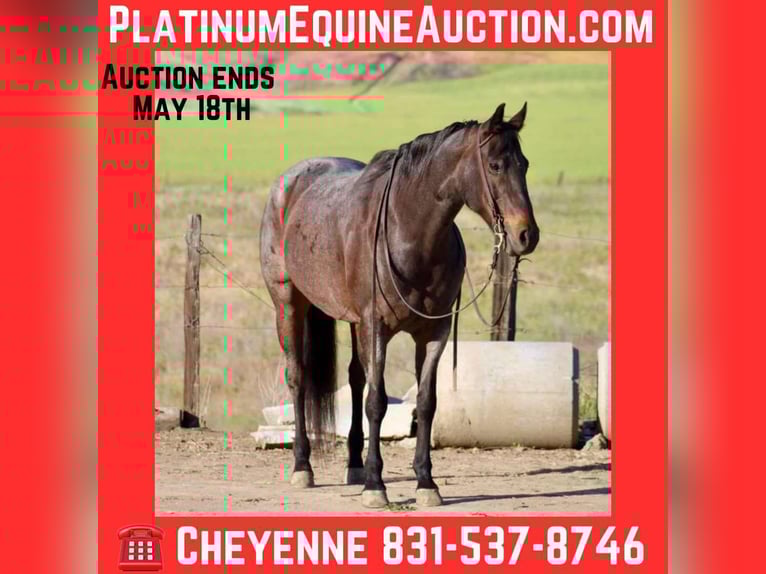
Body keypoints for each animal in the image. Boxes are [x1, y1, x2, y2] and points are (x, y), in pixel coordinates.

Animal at [259, 102, 539, 508]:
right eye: (495, 165)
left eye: (525, 164)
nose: (526, 235)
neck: (409, 232)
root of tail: (289, 183)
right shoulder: (376, 328)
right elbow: (377, 402)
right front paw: (376, 485)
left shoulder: (433, 332)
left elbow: (425, 403)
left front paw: (425, 482)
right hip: (289, 303)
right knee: (298, 377)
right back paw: (303, 466)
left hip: (351, 321)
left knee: (355, 380)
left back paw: (355, 466)